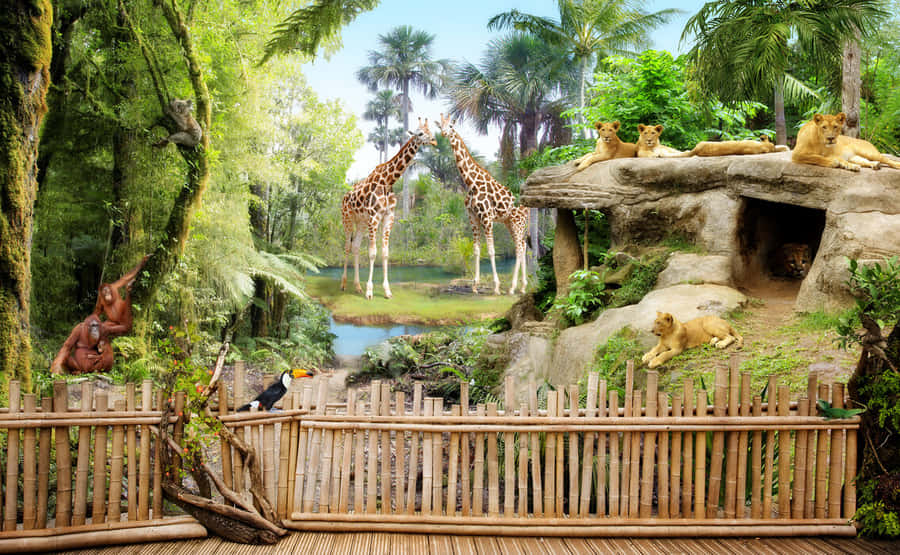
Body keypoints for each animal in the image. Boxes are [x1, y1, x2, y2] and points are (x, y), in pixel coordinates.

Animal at [340, 118, 436, 299]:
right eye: (420, 133)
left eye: (431, 132)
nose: (434, 141)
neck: (388, 181)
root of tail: (344, 196)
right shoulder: (374, 216)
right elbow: (372, 252)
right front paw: (370, 291)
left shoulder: (388, 216)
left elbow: (385, 253)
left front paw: (386, 290)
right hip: (347, 218)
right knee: (347, 246)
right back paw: (343, 284)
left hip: (361, 222)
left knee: (355, 247)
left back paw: (357, 286)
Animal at [437, 114, 529, 295]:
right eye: (440, 126)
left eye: (450, 126)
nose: (443, 133)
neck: (471, 183)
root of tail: (528, 207)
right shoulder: (473, 218)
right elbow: (476, 250)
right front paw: (474, 285)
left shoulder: (487, 218)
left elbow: (492, 251)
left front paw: (496, 287)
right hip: (510, 222)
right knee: (522, 245)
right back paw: (522, 287)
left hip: (517, 222)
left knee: (519, 248)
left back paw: (512, 288)